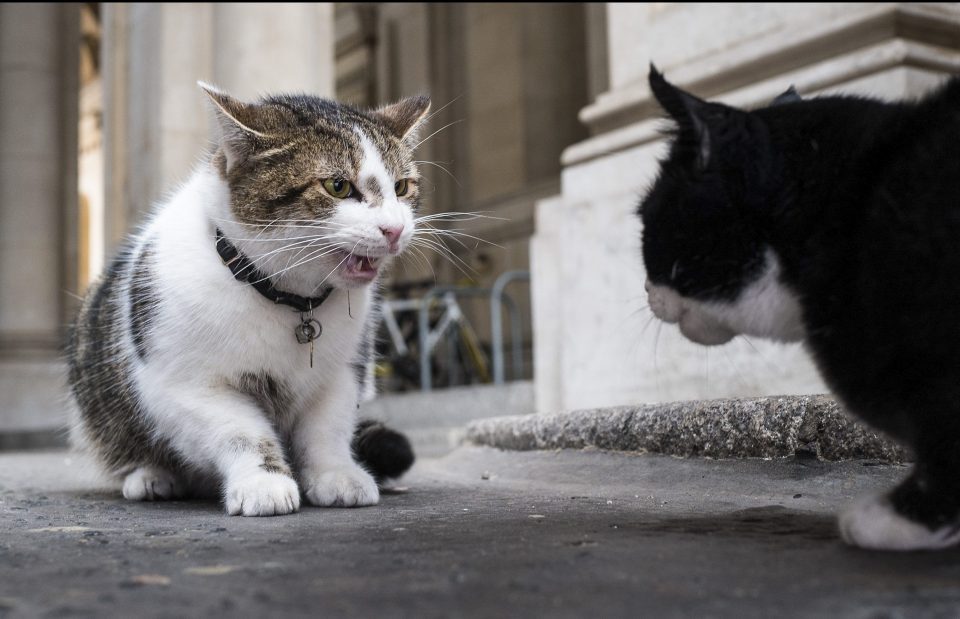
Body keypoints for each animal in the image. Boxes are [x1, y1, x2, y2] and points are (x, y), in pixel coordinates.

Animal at [67, 83, 428, 520]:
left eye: (402, 187)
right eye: (337, 186)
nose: (394, 229)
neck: (289, 300)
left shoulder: (343, 372)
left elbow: (327, 429)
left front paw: (336, 475)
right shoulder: (187, 384)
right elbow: (241, 432)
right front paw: (264, 483)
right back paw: (152, 476)